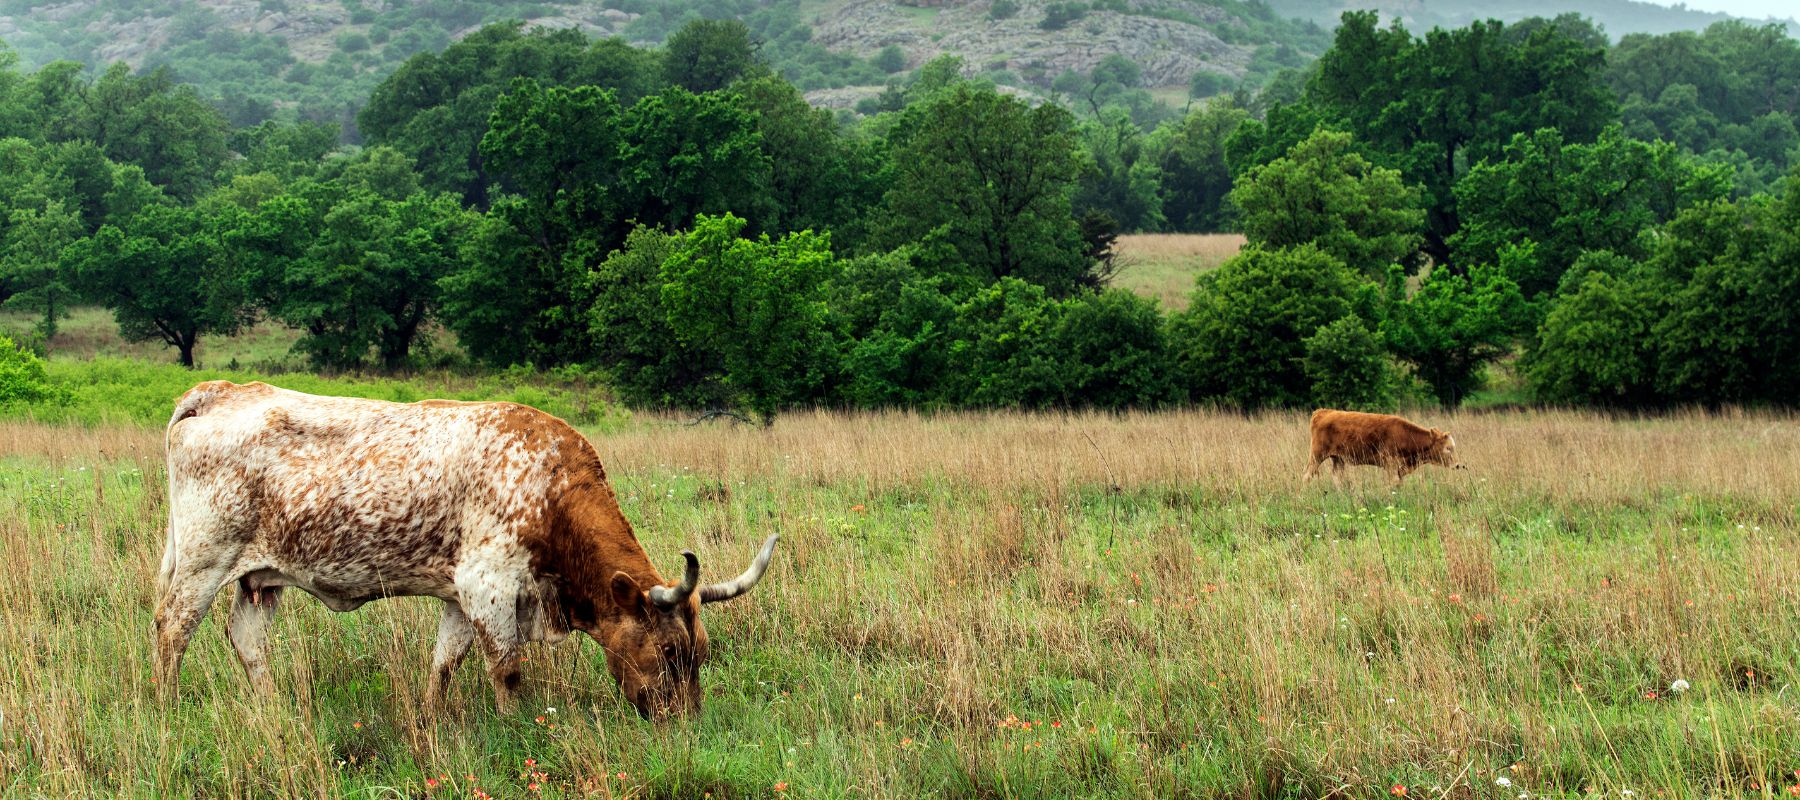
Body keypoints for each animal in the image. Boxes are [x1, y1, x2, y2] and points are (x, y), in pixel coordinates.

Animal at [153, 381, 774, 717]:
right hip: (203, 559)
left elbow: (444, 664)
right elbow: (507, 669)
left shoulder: (458, 596)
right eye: (669, 652)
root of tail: (220, 392)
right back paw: (167, 708)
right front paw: (520, 728)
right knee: (171, 630)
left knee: (246, 639)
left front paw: (431, 720)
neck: (551, 491)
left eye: (702, 654)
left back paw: (274, 706)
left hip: (258, 578)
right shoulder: (489, 588)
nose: (684, 725)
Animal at [1303, 405, 1468, 486]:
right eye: (1448, 448)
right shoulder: (1391, 465)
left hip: (1338, 459)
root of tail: (1323, 412)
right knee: (1307, 476)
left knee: (1336, 478)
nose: (1458, 465)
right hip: (1316, 455)